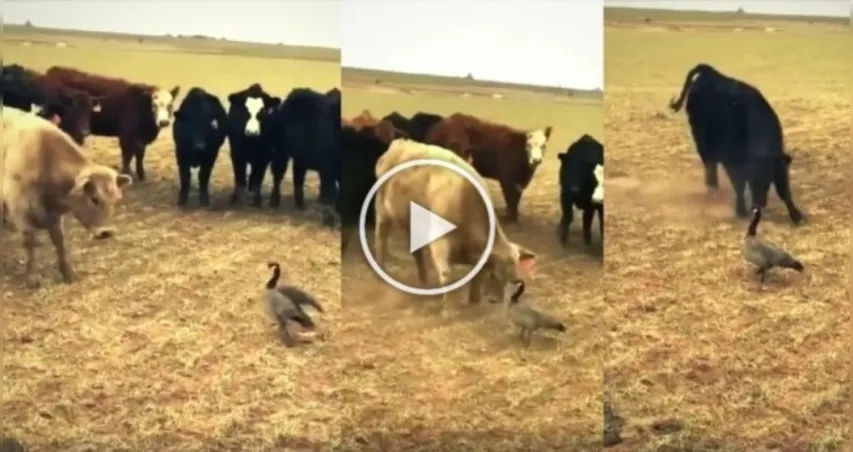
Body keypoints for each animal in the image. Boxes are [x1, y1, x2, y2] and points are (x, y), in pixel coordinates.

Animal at [2, 107, 132, 288]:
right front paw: (32, 277)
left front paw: (68, 273)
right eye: (94, 198)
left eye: (116, 199)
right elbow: (30, 243)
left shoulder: (54, 216)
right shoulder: (21, 211)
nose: (107, 232)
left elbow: (60, 242)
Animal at [45, 65, 180, 181]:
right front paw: (126, 174)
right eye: (154, 105)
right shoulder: (126, 136)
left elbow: (139, 155)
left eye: (170, 105)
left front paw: (141, 175)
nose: (163, 122)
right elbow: (127, 155)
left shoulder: (141, 138)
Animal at [373, 138, 536, 310]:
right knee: (381, 240)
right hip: (382, 211)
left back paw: (423, 282)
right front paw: (449, 310)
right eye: (494, 274)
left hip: (412, 224)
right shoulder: (440, 244)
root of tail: (401, 143)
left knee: (417, 253)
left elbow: (476, 281)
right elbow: (447, 276)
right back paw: (382, 273)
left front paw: (474, 302)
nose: (497, 300)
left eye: (511, 278)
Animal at [669, 63, 804, 224]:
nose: (758, 204)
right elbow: (739, 186)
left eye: (768, 181)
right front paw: (741, 211)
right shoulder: (732, 163)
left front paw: (797, 215)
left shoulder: (778, 163)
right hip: (701, 140)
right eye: (752, 180)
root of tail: (710, 73)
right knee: (710, 165)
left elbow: (784, 190)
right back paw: (712, 188)